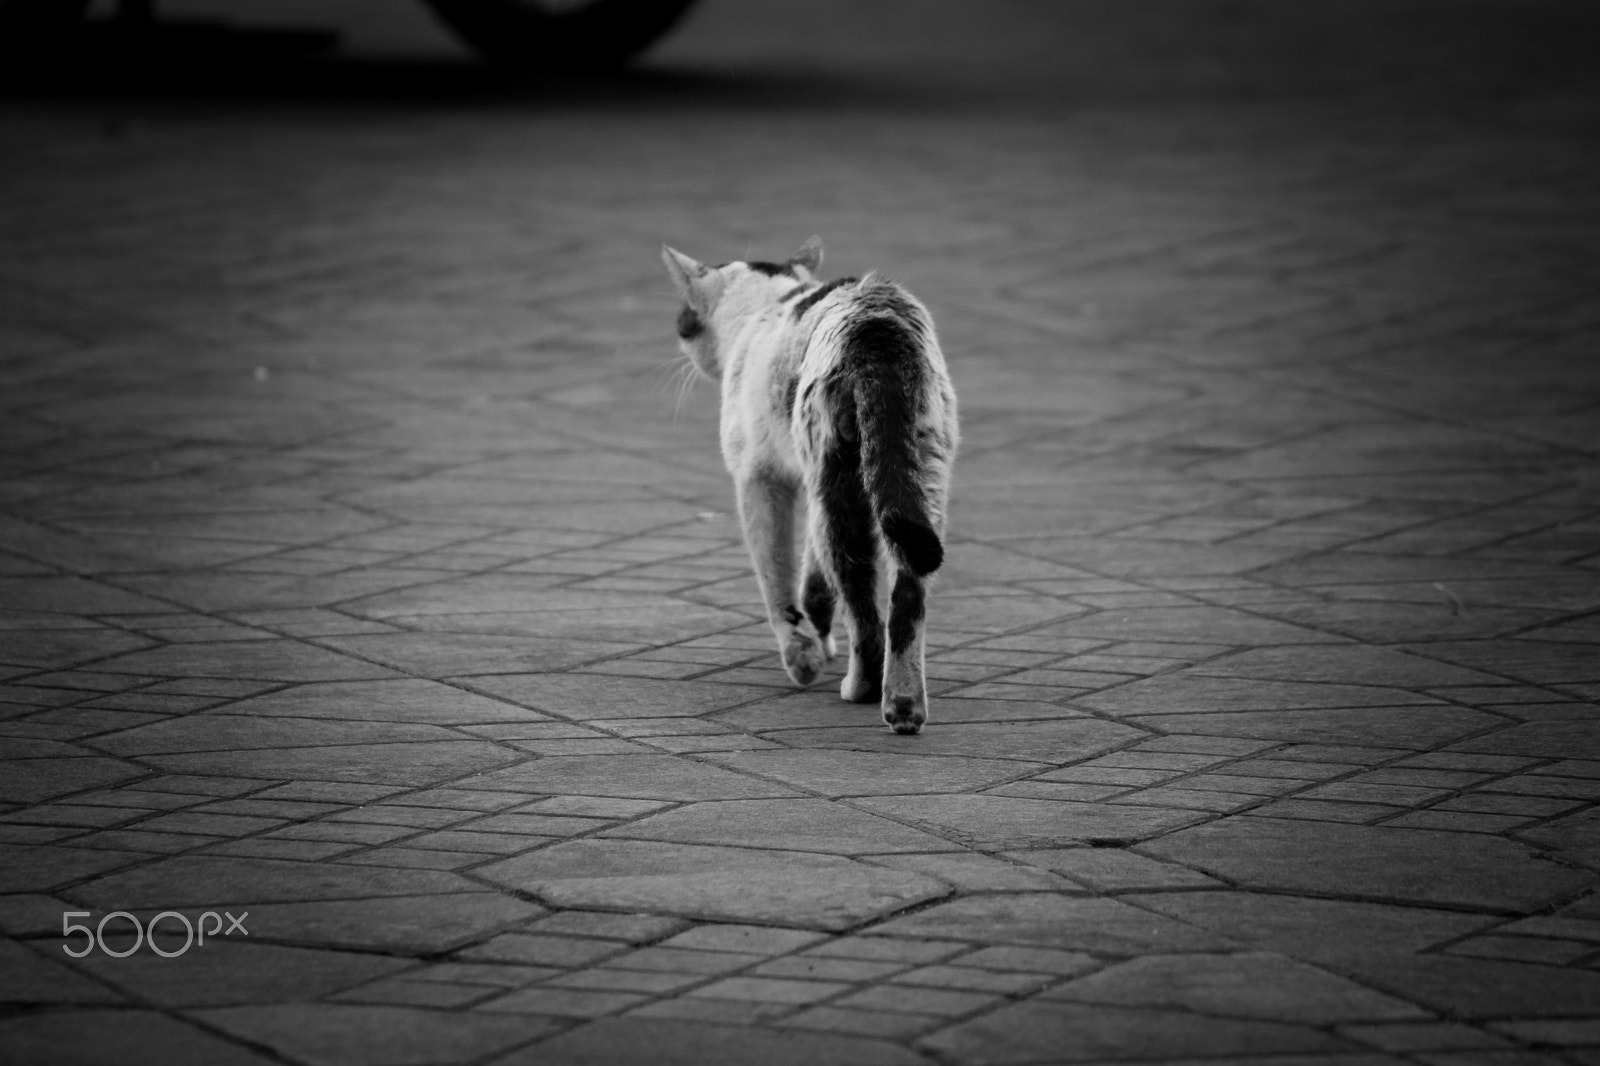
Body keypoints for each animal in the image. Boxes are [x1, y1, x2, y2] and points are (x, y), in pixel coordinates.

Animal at [662, 235, 960, 729]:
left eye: (685, 318)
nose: (681, 330)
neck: (766, 306)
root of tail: (876, 327)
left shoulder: (760, 481)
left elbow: (777, 575)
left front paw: (802, 654)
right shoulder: (806, 482)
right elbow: (813, 576)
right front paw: (819, 634)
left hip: (839, 478)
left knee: (862, 602)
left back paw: (861, 688)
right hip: (917, 473)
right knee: (906, 592)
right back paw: (903, 704)